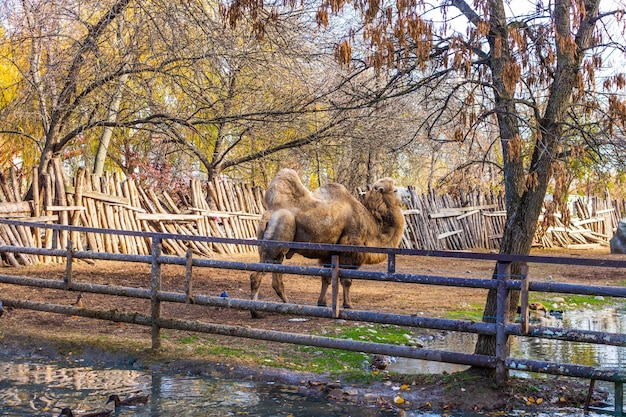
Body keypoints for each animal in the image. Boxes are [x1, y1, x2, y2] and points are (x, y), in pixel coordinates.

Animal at [249, 167, 404, 316]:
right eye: (395, 190)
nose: (406, 194)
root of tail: (268, 214)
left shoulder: (329, 254)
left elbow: (326, 278)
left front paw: (322, 303)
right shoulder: (350, 251)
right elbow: (347, 280)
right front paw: (348, 305)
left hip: (277, 250)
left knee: (277, 278)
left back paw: (287, 305)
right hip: (276, 239)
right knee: (256, 276)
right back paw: (255, 312)